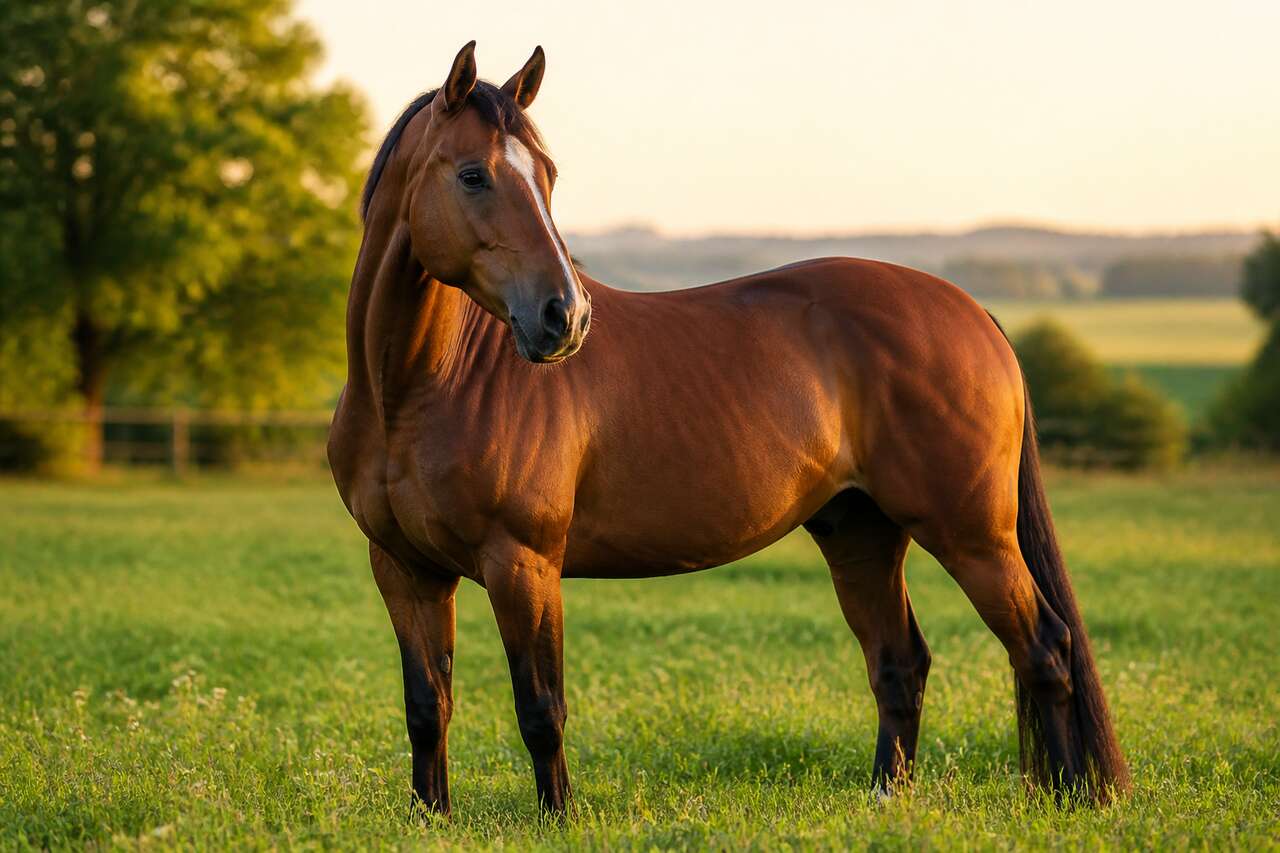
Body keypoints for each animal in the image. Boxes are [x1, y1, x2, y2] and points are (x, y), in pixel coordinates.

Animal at [327, 41, 1130, 818]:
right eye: (473, 175)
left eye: (548, 176)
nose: (565, 317)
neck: (424, 386)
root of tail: (972, 312)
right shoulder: (403, 569)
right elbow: (427, 707)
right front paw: (432, 819)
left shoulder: (522, 563)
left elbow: (540, 708)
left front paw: (556, 819)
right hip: (862, 533)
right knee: (901, 664)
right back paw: (887, 799)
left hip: (972, 535)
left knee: (1045, 648)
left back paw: (1074, 799)